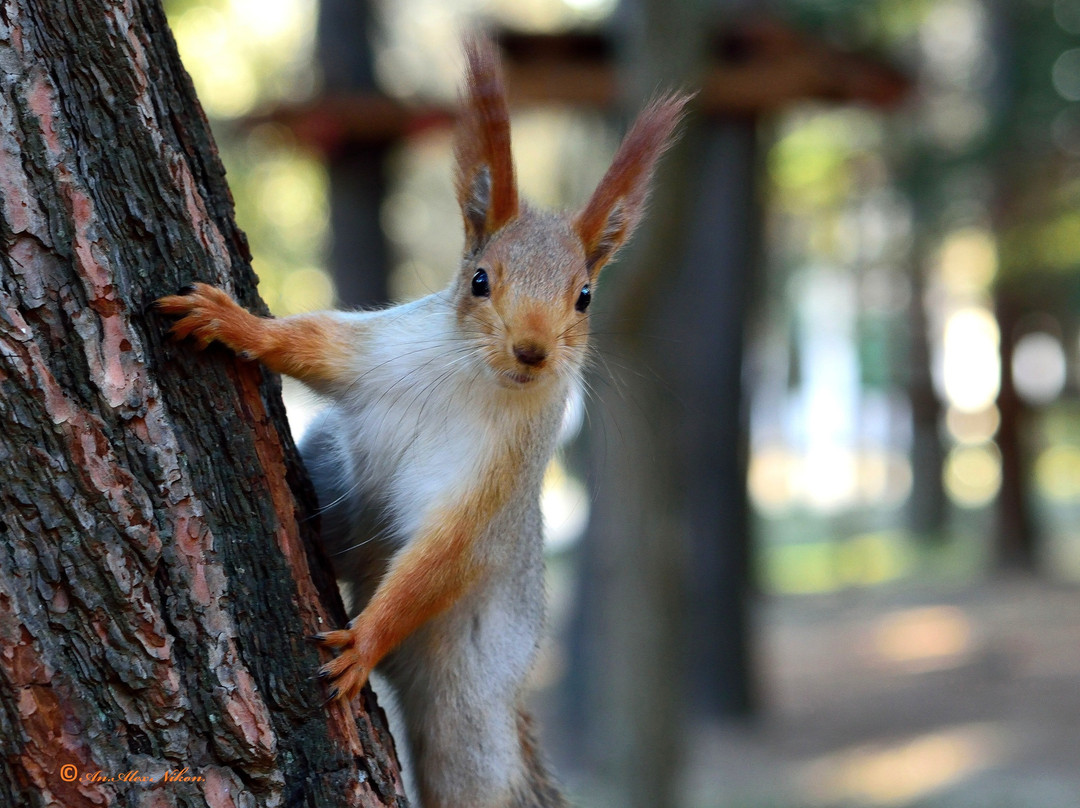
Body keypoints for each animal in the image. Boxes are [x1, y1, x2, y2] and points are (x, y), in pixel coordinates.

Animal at [156, 36, 686, 808]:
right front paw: (234, 323)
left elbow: (439, 560)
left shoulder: (496, 477)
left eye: (585, 296)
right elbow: (309, 345)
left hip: (468, 721)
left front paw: (362, 645)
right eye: (479, 280)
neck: (473, 379)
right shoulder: (379, 350)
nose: (532, 350)